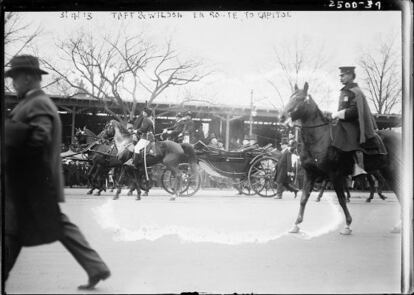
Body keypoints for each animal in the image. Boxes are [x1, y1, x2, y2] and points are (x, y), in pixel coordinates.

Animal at [282, 82, 402, 235]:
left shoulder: (335, 174)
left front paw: (347, 225)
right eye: (290, 97)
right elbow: (304, 198)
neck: (320, 138)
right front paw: (296, 224)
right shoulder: (311, 174)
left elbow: (341, 199)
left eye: (299, 99)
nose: (282, 116)